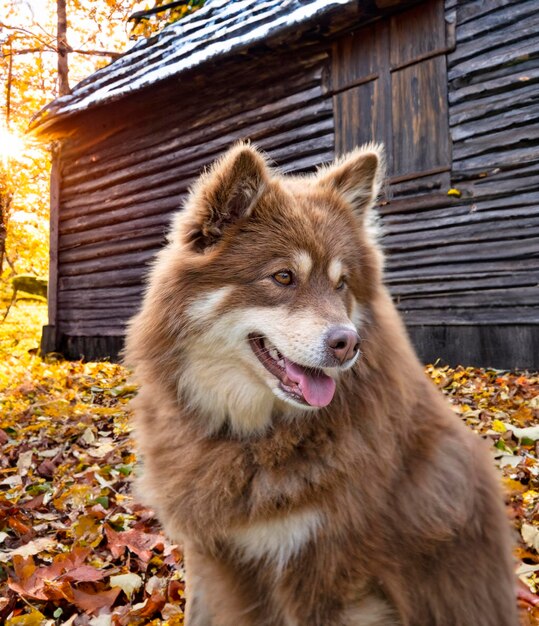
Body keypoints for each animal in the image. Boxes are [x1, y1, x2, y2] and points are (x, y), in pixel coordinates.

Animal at [125, 143, 520, 624]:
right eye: (282, 277)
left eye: (341, 284)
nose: (347, 343)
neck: (248, 436)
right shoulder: (212, 553)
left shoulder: (322, 571)